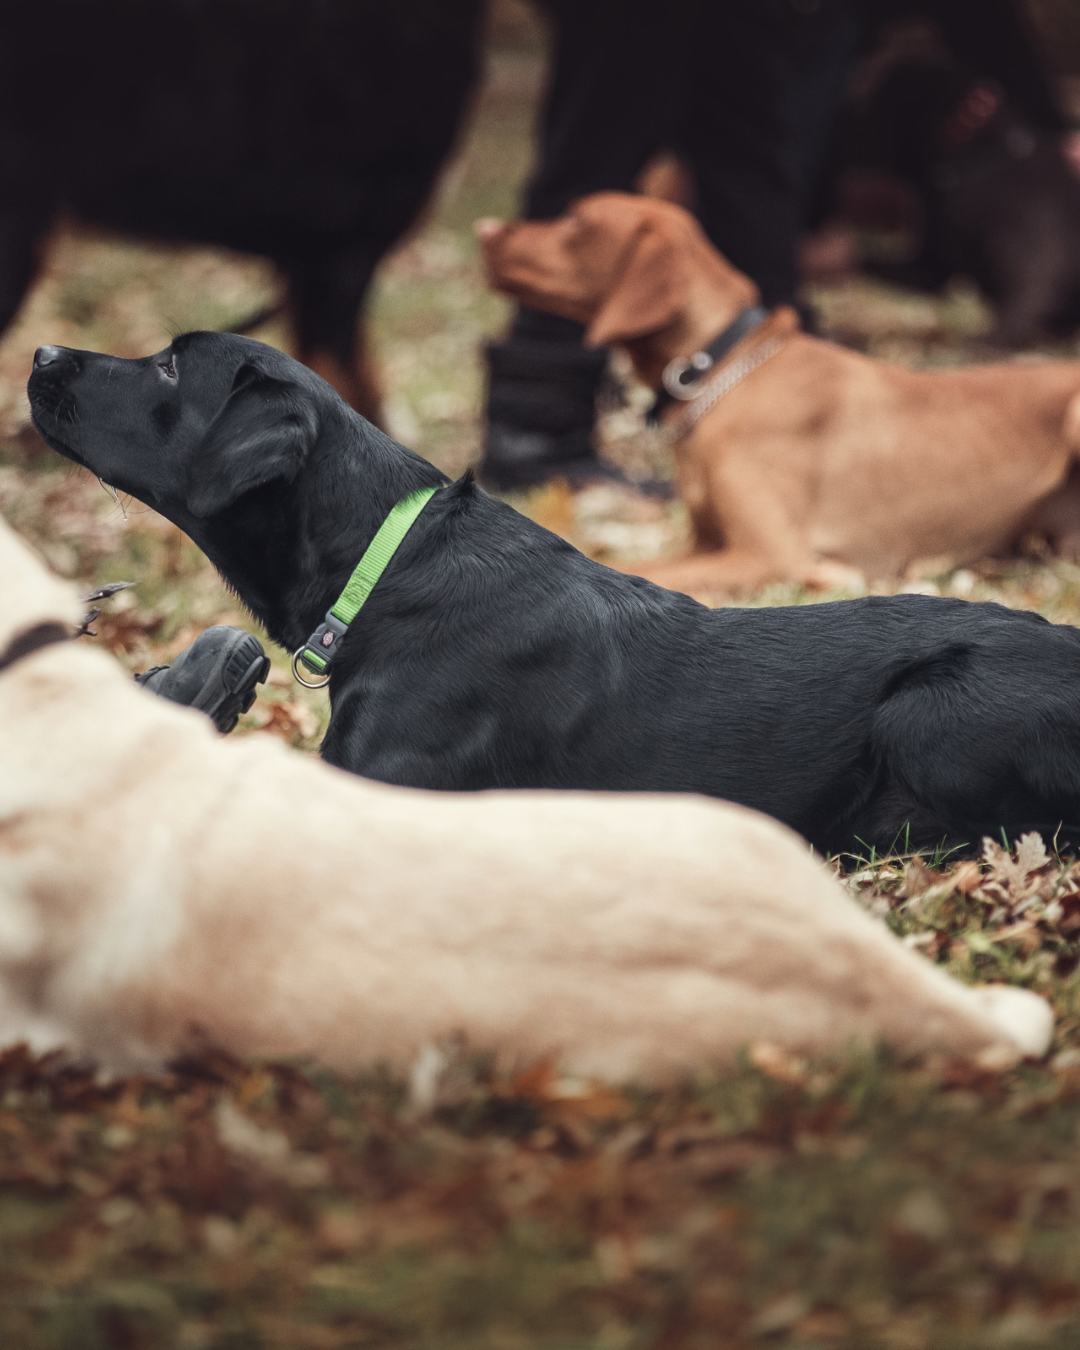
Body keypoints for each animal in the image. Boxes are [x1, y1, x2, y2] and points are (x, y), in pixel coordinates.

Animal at [477, 194, 1080, 596]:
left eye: (577, 220)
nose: (484, 229)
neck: (722, 371)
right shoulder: (707, 543)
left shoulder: (767, 554)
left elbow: (636, 570)